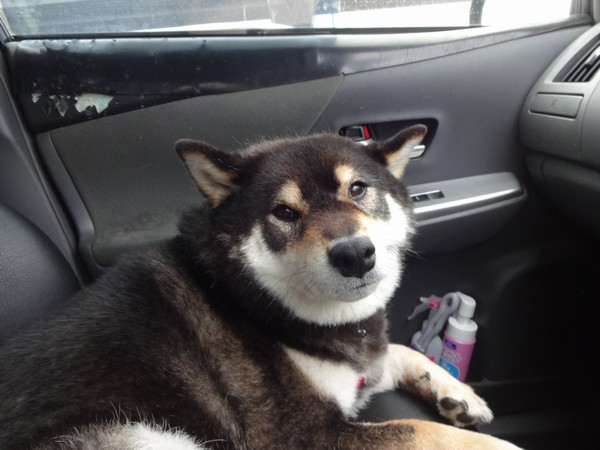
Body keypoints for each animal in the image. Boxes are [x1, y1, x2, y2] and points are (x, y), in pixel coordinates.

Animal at [0, 125, 521, 449]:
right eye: (284, 213)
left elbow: (398, 351)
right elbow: (422, 431)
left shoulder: (359, 366)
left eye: (357, 189)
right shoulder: (305, 437)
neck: (253, 300)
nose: (355, 254)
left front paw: (458, 394)